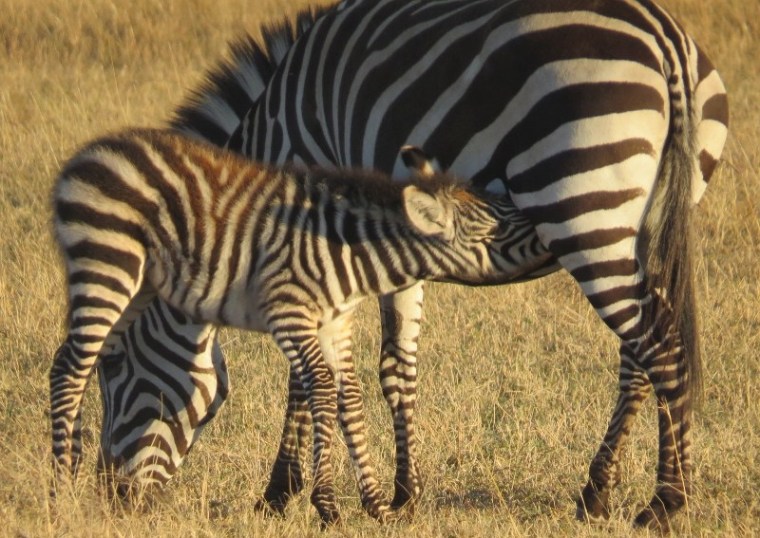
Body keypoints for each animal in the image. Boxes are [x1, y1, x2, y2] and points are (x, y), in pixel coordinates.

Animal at [50, 128, 545, 524]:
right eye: (499, 227)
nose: (546, 234)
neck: (349, 252)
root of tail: (92, 152)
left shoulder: (335, 322)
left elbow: (350, 397)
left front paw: (376, 505)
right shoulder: (289, 311)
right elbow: (322, 388)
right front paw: (327, 506)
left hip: (138, 286)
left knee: (79, 361)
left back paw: (72, 470)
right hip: (107, 263)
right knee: (69, 369)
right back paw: (60, 489)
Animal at [100, 0, 729, 529]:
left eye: (112, 367)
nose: (110, 498)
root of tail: (664, 37)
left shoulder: (319, 241)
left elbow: (309, 376)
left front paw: (283, 492)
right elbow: (396, 364)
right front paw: (404, 494)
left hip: (584, 206)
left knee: (661, 349)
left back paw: (665, 503)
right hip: (644, 226)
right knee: (640, 354)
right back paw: (597, 491)